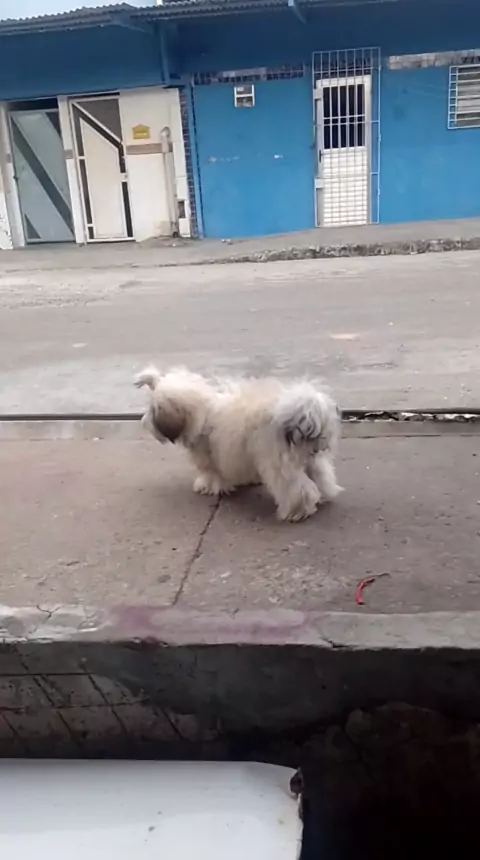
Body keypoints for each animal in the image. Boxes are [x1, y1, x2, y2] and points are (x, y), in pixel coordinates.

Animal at [135, 366, 342, 522]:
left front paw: (207, 486)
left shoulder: (209, 457)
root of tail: (304, 413)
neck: (202, 410)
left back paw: (297, 511)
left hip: (280, 464)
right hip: (313, 459)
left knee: (298, 490)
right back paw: (325, 495)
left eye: (153, 408)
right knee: (322, 477)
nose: (144, 422)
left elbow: (211, 473)